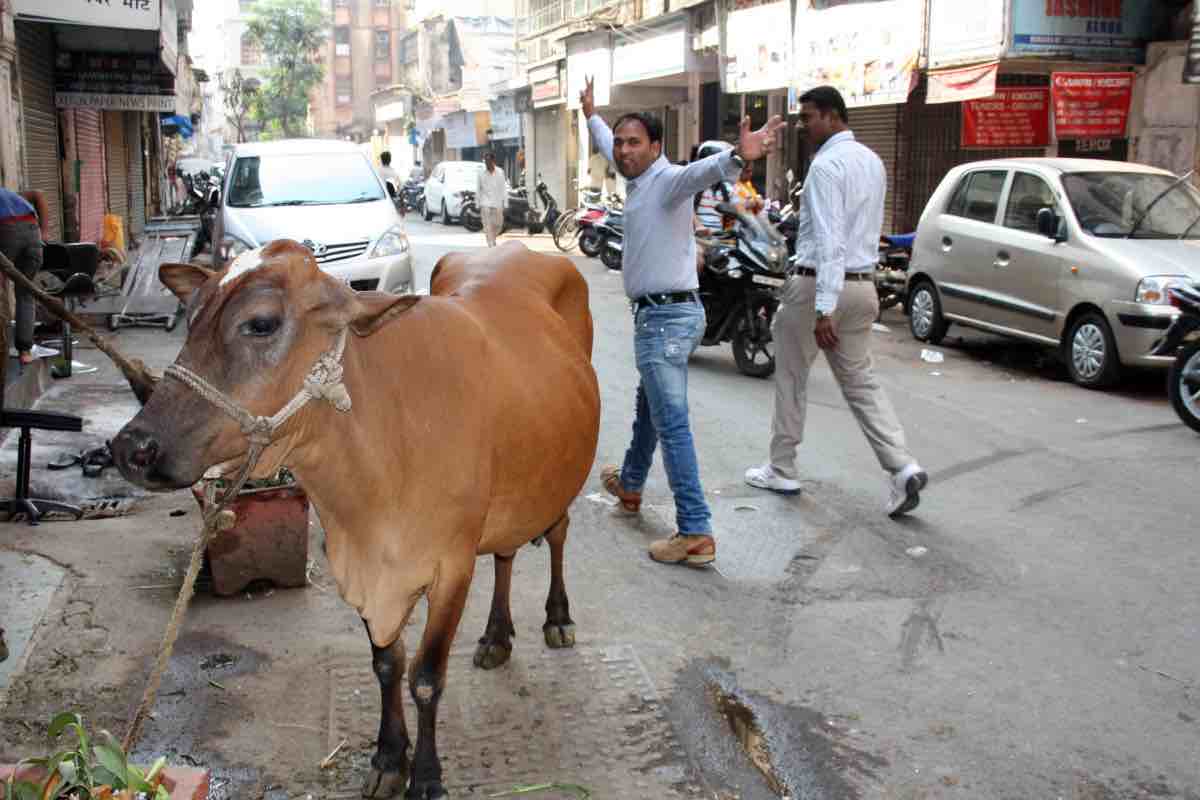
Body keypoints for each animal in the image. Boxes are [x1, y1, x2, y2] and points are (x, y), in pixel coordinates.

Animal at [111, 239, 600, 800]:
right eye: (190, 318)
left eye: (261, 323)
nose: (131, 448)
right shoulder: (363, 568)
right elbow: (388, 664)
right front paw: (389, 757)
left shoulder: (451, 567)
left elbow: (426, 678)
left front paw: (426, 777)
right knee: (505, 551)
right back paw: (497, 636)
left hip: (558, 479)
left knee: (556, 534)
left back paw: (557, 618)